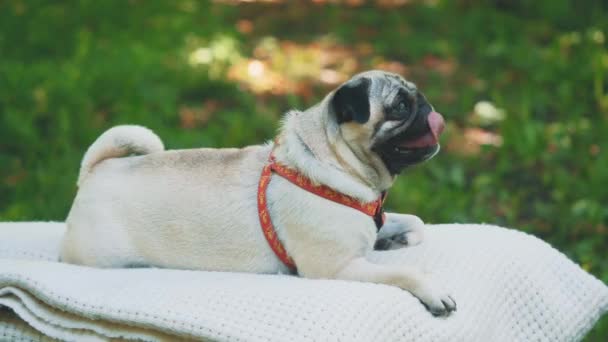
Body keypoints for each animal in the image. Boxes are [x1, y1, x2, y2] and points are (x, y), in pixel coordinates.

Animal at [61, 69, 456, 316]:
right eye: (400, 107)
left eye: (415, 95)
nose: (427, 106)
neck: (334, 164)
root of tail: (95, 171)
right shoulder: (336, 267)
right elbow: (406, 273)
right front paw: (433, 289)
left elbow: (415, 222)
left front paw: (395, 240)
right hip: (99, 257)